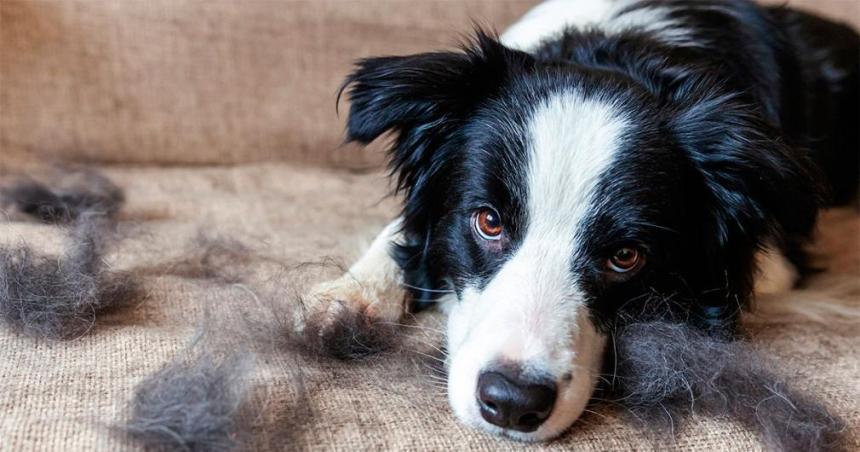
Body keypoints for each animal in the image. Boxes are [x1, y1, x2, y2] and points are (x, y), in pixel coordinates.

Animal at [298, 0, 856, 442]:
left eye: (626, 256)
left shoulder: (778, 259)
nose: (512, 403)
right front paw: (350, 299)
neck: (618, 51)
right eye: (488, 222)